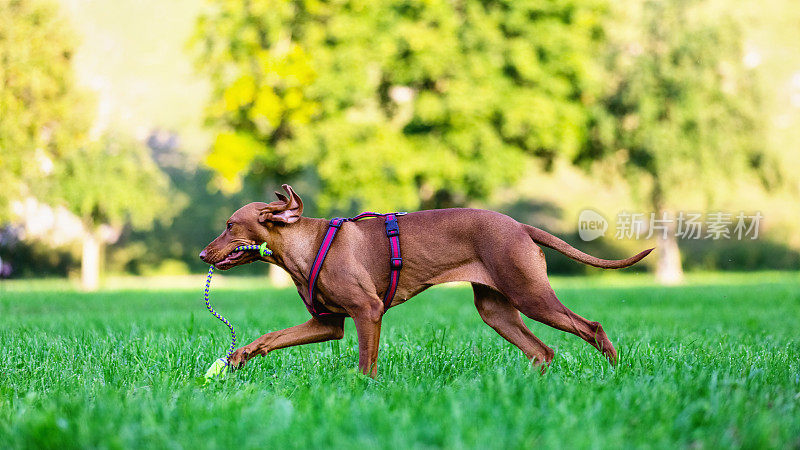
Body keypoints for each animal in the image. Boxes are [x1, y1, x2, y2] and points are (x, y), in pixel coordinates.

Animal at [198, 184, 648, 376]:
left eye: (229, 225)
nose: (202, 255)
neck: (302, 245)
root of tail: (520, 226)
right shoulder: (328, 323)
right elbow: (270, 337)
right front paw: (237, 358)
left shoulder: (367, 311)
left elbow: (366, 363)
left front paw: (362, 390)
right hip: (496, 310)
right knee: (543, 351)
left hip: (530, 294)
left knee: (590, 326)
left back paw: (615, 371)